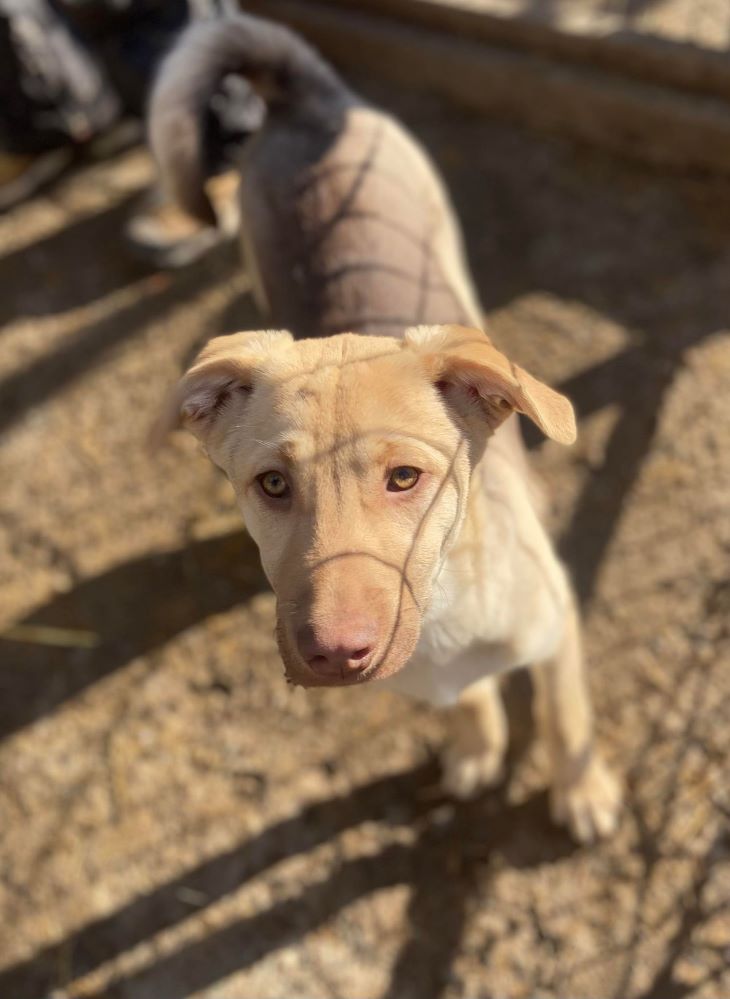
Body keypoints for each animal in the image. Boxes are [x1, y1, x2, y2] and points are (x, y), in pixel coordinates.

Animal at [149, 15, 620, 844]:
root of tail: (306, 100)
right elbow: (467, 699)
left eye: (406, 477)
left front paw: (583, 791)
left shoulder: (559, 622)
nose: (333, 654)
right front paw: (477, 743)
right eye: (272, 483)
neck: (448, 615)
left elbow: (566, 717)